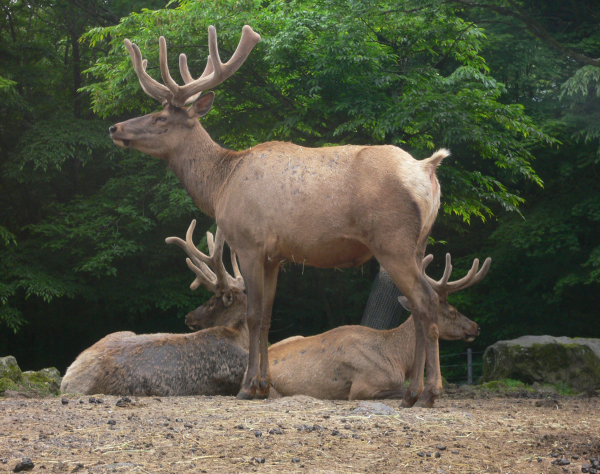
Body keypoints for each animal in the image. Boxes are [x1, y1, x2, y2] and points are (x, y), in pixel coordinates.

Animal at [110, 23, 490, 408]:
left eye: (160, 118)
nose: (115, 128)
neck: (219, 185)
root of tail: (427, 169)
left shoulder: (248, 242)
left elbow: (253, 314)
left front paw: (247, 388)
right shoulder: (275, 255)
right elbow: (266, 317)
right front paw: (262, 386)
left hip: (392, 241)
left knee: (425, 302)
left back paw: (426, 393)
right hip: (419, 243)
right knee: (420, 302)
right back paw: (414, 392)